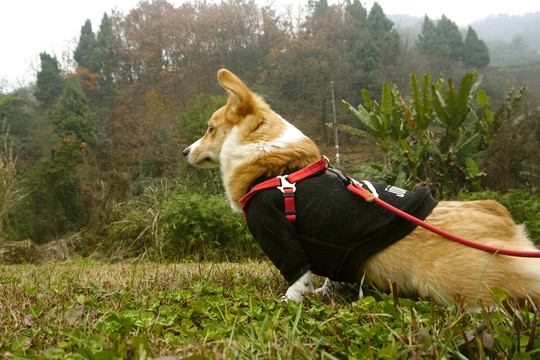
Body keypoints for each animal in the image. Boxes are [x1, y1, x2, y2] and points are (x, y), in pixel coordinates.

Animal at [185, 69, 540, 308]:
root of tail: (508, 227)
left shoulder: (275, 231)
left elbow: (297, 276)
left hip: (455, 284)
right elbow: (327, 276)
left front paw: (289, 301)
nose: (185, 151)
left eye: (210, 129)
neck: (280, 168)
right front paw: (324, 292)